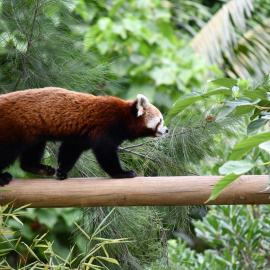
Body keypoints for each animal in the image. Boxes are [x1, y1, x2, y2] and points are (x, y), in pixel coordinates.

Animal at [0, 87, 168, 185]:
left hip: (33, 131)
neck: (123, 116)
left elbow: (70, 150)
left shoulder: (80, 136)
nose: (166, 130)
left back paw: (39, 168)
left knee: (33, 150)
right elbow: (105, 152)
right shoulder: (106, 127)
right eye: (160, 120)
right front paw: (122, 173)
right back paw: (3, 177)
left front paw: (61, 170)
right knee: (6, 151)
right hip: (11, 130)